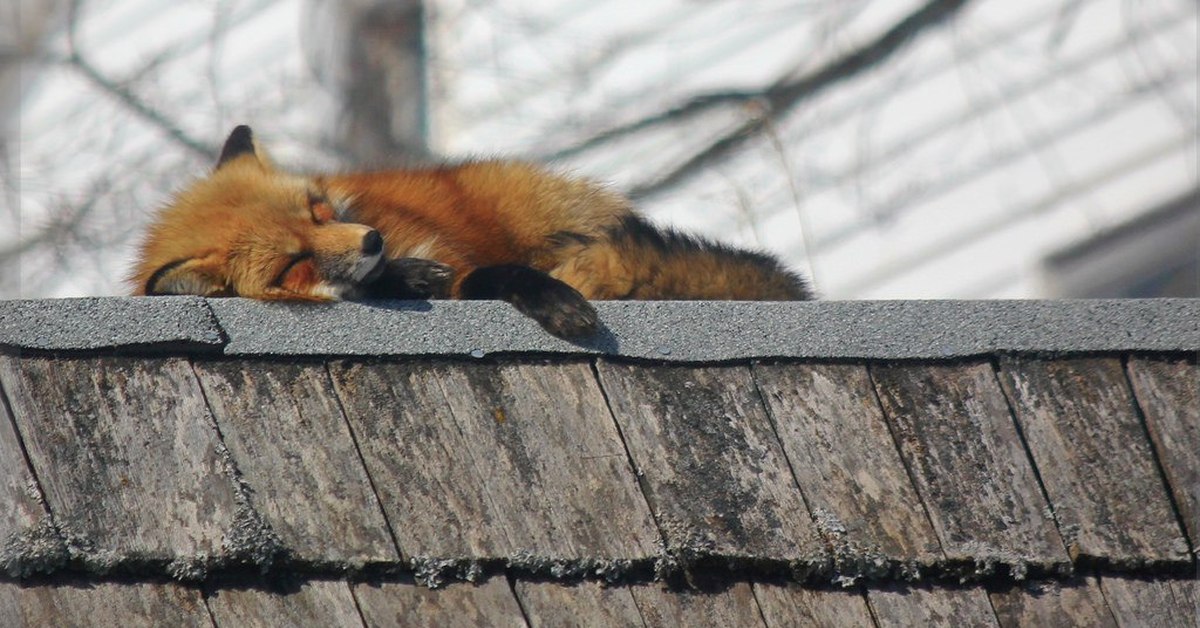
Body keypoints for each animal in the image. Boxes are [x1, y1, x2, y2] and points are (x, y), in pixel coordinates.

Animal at [131, 124, 811, 336]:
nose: (373, 242)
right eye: (293, 264)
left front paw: (555, 300)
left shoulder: (456, 256)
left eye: (320, 210)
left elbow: (491, 273)